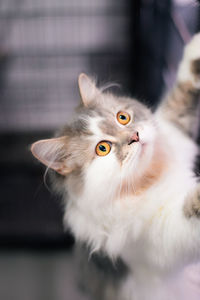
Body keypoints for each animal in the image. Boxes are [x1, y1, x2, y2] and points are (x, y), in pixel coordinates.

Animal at [30, 33, 200, 300]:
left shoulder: (175, 133)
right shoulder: (166, 234)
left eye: (123, 117)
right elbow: (192, 207)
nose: (136, 136)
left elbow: (181, 94)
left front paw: (197, 46)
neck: (150, 177)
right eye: (103, 148)